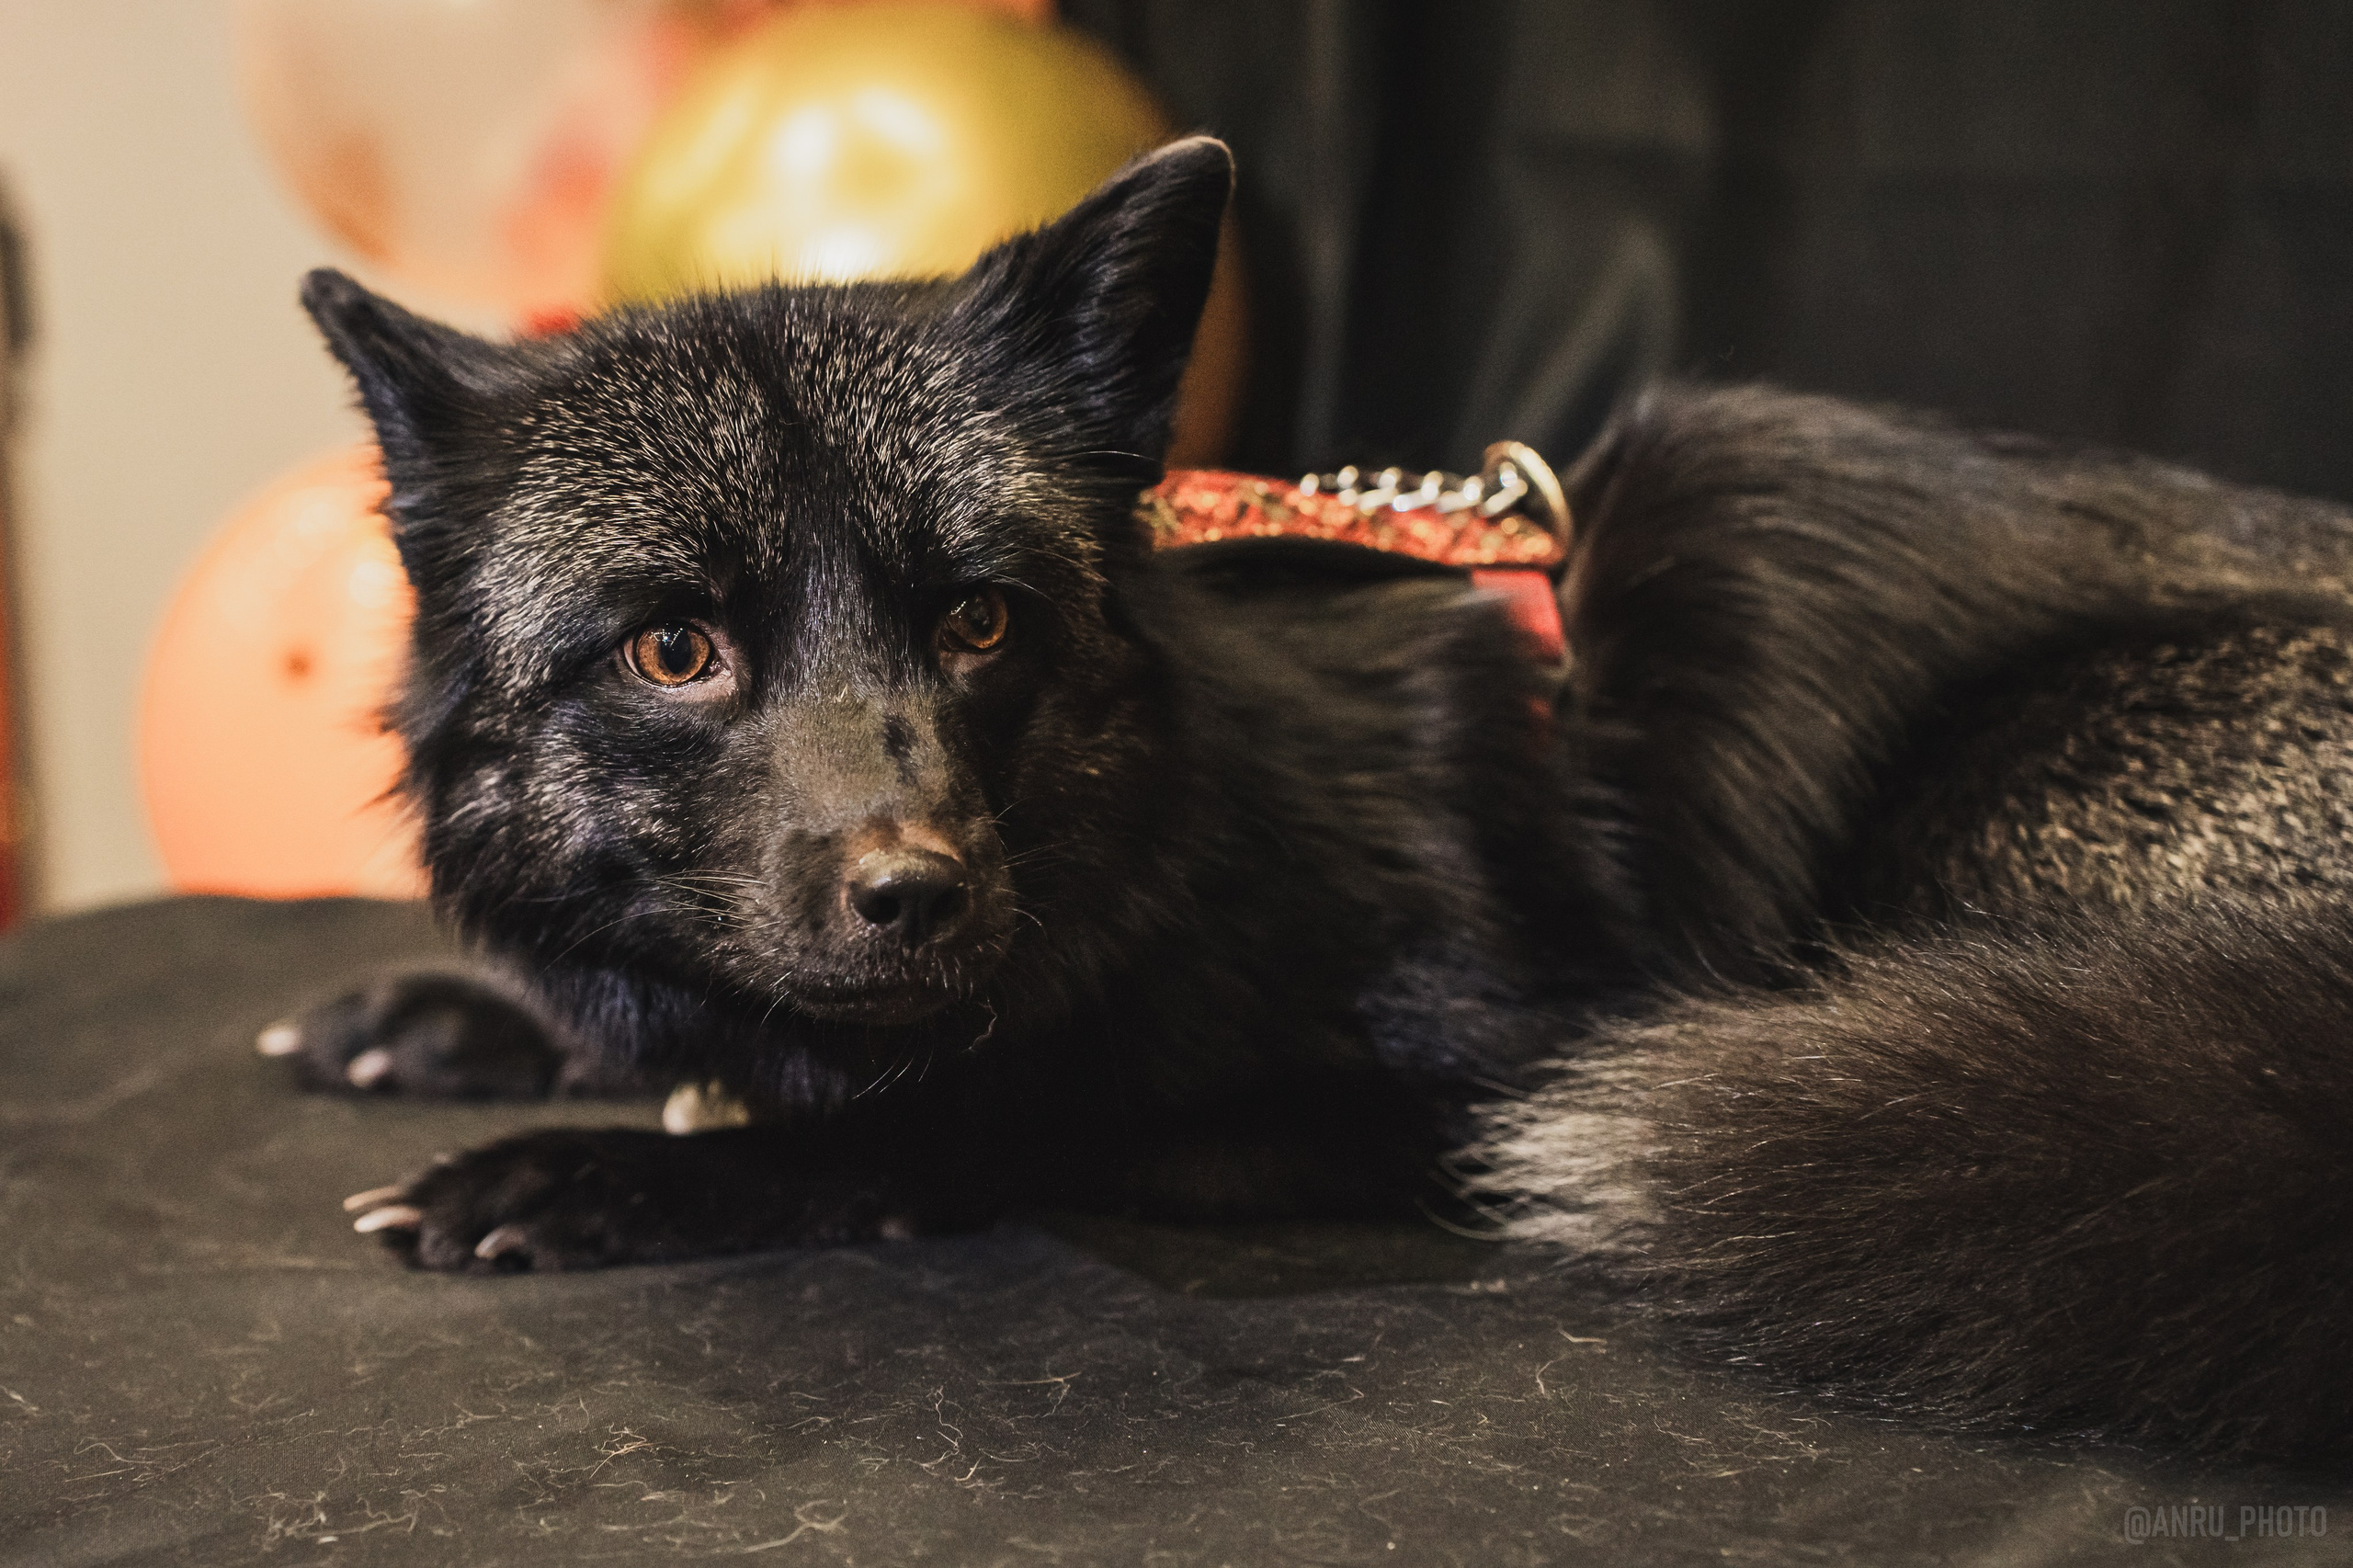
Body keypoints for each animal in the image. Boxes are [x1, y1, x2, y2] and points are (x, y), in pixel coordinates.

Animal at [284, 135, 2353, 1463]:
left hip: (1980, 813)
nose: (917, 891)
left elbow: (962, 1122)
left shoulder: (1488, 1068)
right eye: (674, 651)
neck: (1182, 803)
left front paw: (590, 1173)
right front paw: (452, 1018)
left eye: (976, 620)